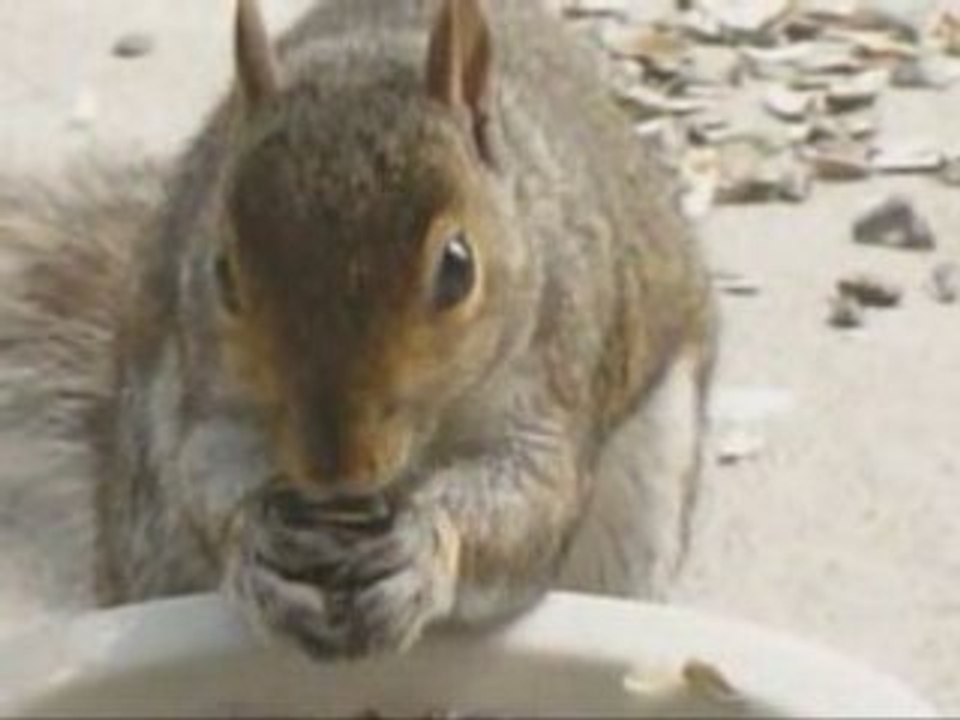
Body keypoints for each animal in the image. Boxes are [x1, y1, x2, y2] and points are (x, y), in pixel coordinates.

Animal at [0, 0, 716, 658]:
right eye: (222, 270)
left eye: (458, 268)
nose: (334, 472)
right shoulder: (204, 393)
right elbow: (203, 471)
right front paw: (256, 545)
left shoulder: (559, 369)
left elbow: (532, 500)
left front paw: (419, 547)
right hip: (148, 512)